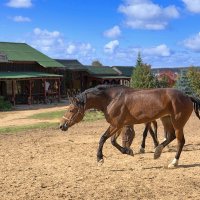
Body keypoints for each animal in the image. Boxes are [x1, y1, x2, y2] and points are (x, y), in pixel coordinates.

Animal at [59, 85, 200, 168]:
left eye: (71, 110)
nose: (61, 125)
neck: (112, 99)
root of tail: (187, 96)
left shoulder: (116, 124)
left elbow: (103, 138)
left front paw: (100, 159)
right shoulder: (119, 125)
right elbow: (113, 141)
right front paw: (128, 151)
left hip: (177, 123)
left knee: (180, 141)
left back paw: (173, 162)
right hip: (166, 119)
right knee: (170, 137)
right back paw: (157, 152)